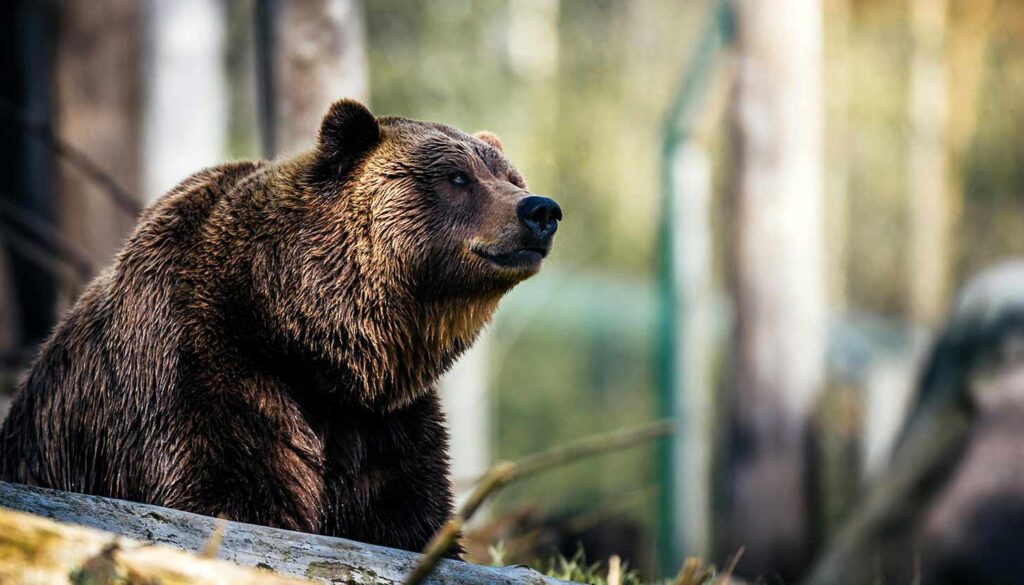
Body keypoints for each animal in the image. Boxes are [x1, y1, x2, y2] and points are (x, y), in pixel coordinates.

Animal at [0, 99, 561, 553]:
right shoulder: (197, 374)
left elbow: (406, 516)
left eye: (511, 178)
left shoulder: (383, 426)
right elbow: (229, 493)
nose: (541, 209)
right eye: (457, 177)